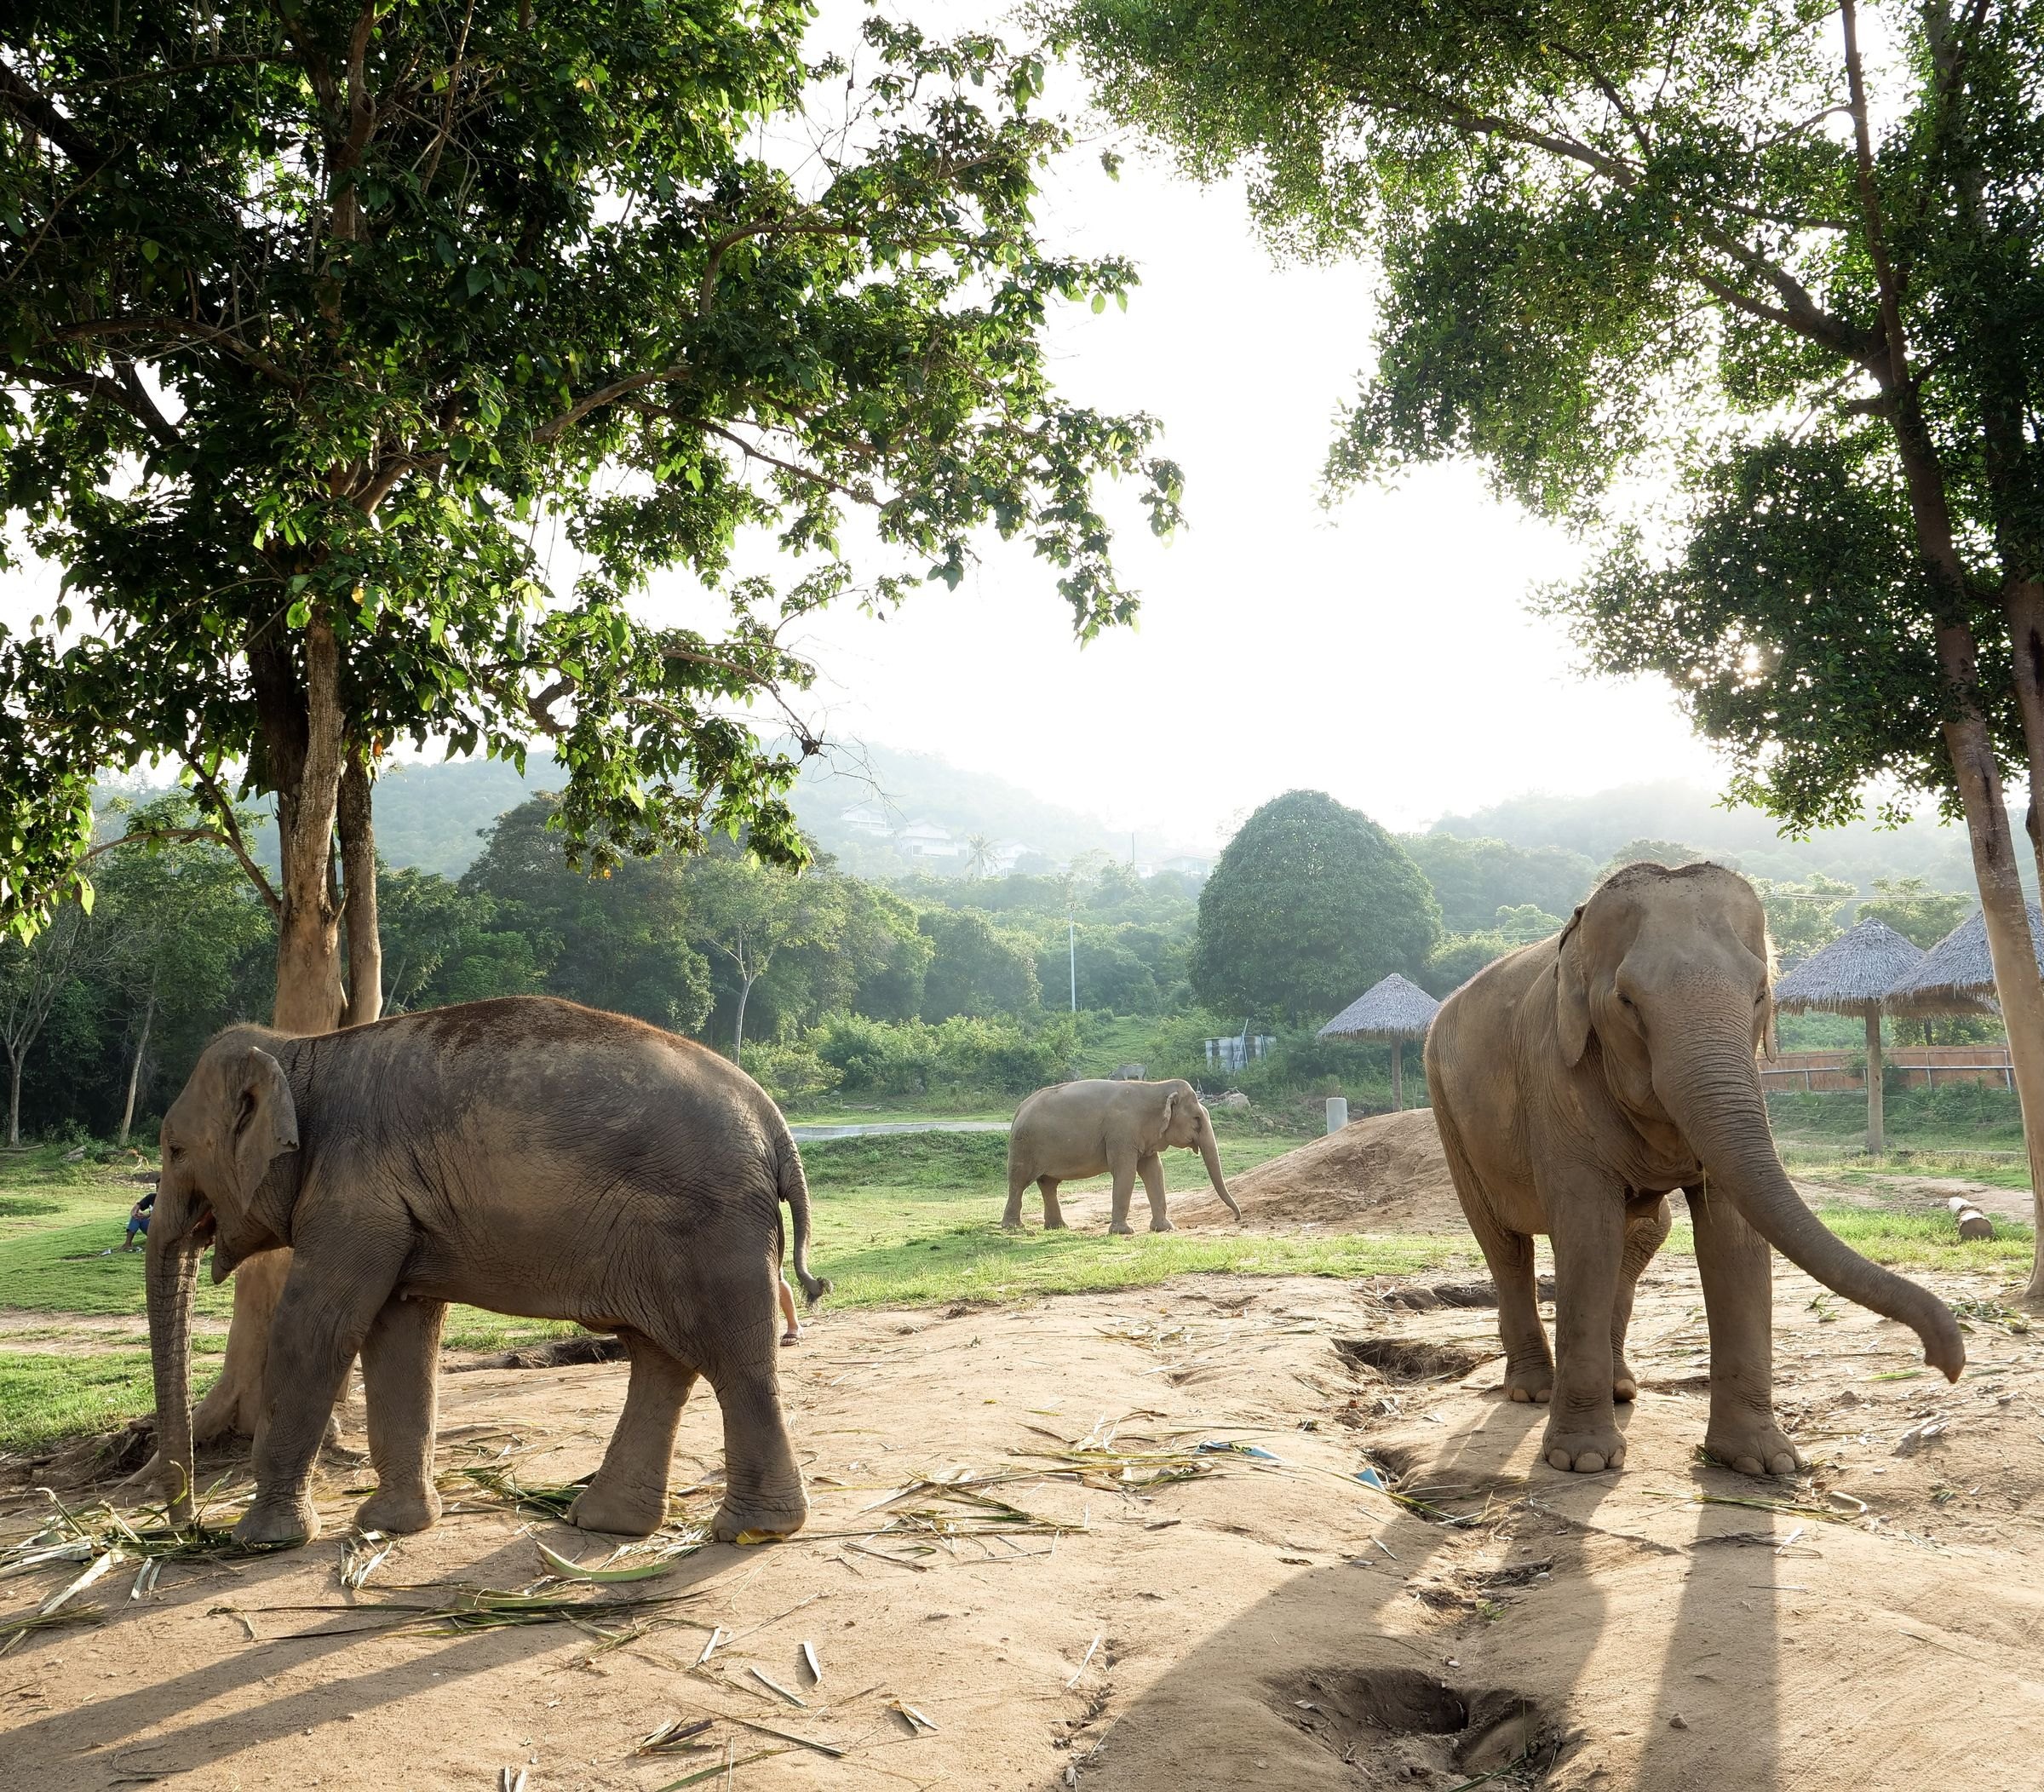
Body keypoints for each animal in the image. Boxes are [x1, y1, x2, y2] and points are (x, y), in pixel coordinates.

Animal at [137, 995, 827, 1549]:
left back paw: (752, 1531)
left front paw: (261, 1540)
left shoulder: (353, 1195)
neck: (298, 1052)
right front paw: (391, 1526)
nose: (184, 1526)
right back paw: (606, 1522)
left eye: (174, 1150)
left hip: (709, 1229)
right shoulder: (388, 1209)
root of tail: (777, 1127)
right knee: (662, 1358)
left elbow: (316, 1330)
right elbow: (400, 1333)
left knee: (734, 1363)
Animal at [1003, 1078, 1242, 1233]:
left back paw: (1058, 1227)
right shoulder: (1122, 1133)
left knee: (1048, 1184)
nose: (1237, 1218)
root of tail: (1019, 1110)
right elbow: (1125, 1171)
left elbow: (1155, 1171)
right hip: (1024, 1145)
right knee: (1019, 1182)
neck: (1155, 1087)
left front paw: (1165, 1228)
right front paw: (1124, 1232)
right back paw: (1015, 1228)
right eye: (1197, 1119)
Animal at [1425, 861, 1962, 1479]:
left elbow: (1736, 1234)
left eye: (1760, 994)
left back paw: (1621, 1388)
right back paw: (1533, 1391)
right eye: (1627, 1001)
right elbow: (1586, 1232)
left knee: (1643, 1234)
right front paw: (1582, 1461)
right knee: (1504, 1243)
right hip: (1447, 1109)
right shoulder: (1556, 1080)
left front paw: (1762, 1462)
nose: (1946, 1364)